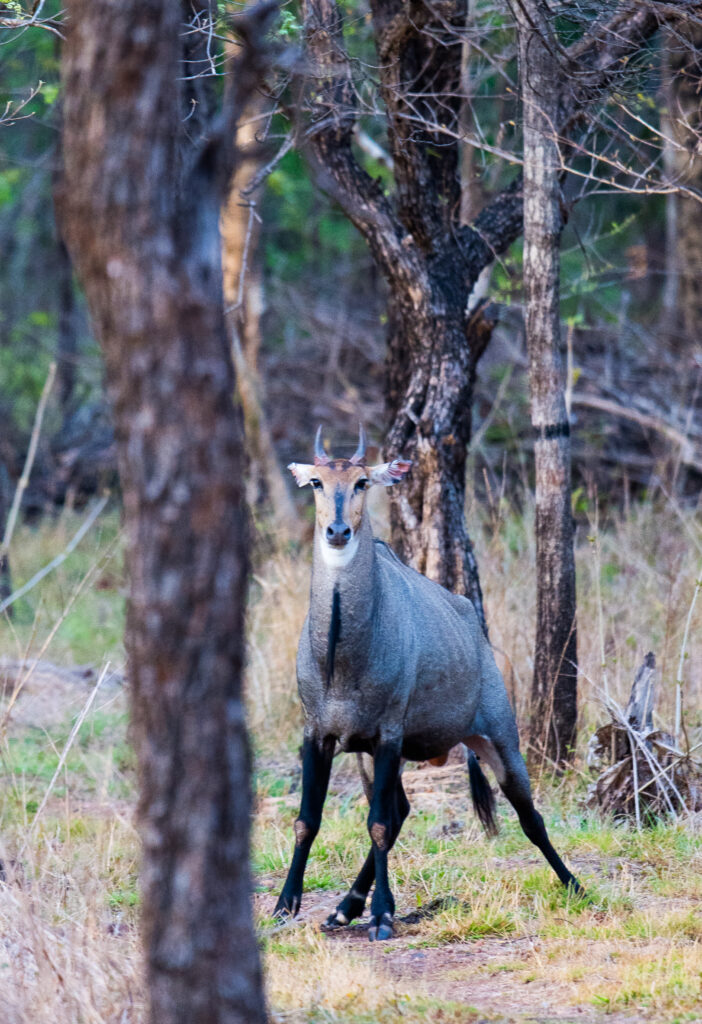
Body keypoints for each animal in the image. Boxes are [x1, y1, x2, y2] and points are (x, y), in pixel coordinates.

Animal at [274, 425, 581, 942]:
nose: (338, 531)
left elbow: (376, 824)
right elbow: (306, 821)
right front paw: (284, 905)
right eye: (316, 482)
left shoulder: (389, 733)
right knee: (400, 810)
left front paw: (382, 917)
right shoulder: (319, 732)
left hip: (497, 737)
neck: (340, 657)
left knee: (529, 815)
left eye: (362, 482)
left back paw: (576, 885)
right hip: (375, 754)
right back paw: (345, 908)